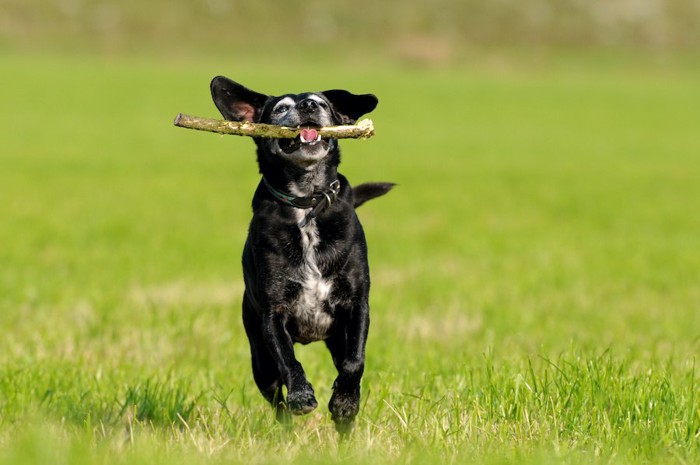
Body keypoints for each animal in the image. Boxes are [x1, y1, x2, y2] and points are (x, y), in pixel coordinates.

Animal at [208, 74, 394, 434]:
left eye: (320, 102)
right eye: (281, 108)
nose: (308, 106)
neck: (307, 202)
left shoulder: (357, 306)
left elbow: (355, 362)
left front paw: (345, 403)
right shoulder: (272, 313)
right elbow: (288, 361)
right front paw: (302, 395)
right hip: (259, 359)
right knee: (274, 393)